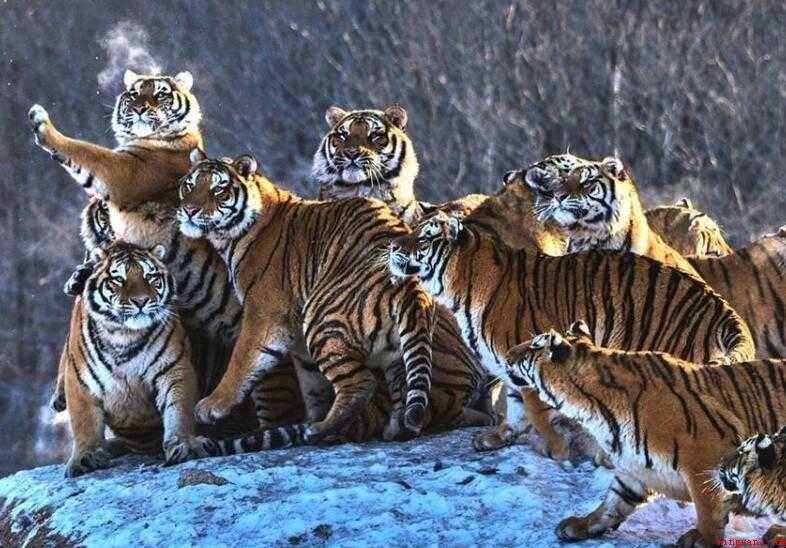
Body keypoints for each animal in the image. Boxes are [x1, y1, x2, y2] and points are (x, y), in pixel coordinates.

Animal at [31, 70, 303, 432]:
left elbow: (87, 152)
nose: (141, 109)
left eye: (160, 94)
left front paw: (41, 124)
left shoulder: (126, 172)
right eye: (134, 94)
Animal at [63, 241, 210, 477]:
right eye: (118, 279)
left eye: (150, 277)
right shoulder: (79, 380)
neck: (123, 335)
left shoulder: (174, 369)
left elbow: (180, 409)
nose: (141, 301)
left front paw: (186, 444)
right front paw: (85, 457)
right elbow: (83, 422)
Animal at [177, 151, 441, 444]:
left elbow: (242, 359)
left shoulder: (264, 312)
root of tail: (411, 286)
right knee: (401, 383)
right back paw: (394, 429)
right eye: (189, 186)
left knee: (361, 383)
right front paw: (313, 414)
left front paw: (212, 406)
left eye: (218, 190)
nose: (189, 210)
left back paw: (320, 430)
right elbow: (312, 383)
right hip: (394, 348)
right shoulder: (298, 340)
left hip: (322, 317)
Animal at [386, 211, 755, 463]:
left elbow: (535, 409)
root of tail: (724, 309)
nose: (391, 245)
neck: (457, 287)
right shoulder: (511, 367)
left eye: (423, 238)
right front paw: (499, 437)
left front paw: (556, 448)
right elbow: (516, 407)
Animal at [504, 321, 786, 547]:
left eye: (532, 347)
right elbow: (612, 502)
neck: (592, 410)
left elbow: (709, 509)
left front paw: (703, 540)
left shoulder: (706, 456)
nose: (506, 355)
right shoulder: (635, 466)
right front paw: (583, 524)